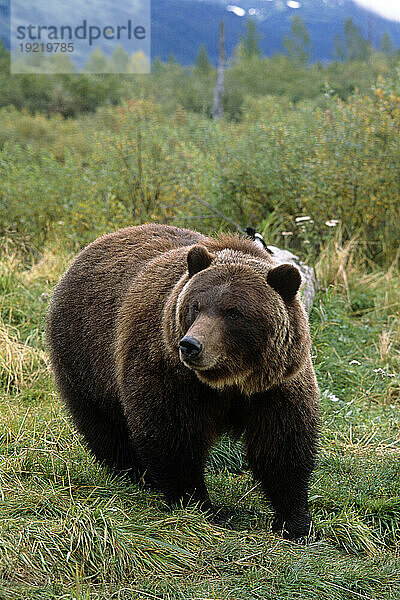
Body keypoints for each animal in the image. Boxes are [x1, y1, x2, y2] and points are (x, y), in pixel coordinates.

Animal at [47, 224, 320, 540]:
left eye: (234, 312)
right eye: (196, 306)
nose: (191, 345)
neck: (229, 381)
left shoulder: (275, 386)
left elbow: (282, 445)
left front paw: (295, 522)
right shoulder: (169, 373)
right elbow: (173, 437)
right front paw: (199, 506)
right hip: (87, 355)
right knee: (104, 422)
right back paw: (134, 473)